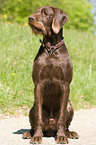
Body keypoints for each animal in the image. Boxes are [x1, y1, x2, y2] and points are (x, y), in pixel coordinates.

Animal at [22, 5, 79, 144]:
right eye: (36, 12)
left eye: (45, 13)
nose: (30, 18)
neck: (52, 49)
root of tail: (50, 130)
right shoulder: (38, 85)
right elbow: (38, 118)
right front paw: (37, 137)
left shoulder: (65, 85)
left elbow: (62, 117)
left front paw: (62, 136)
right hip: (32, 109)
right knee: (34, 122)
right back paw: (29, 133)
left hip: (70, 107)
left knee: (65, 124)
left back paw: (69, 133)